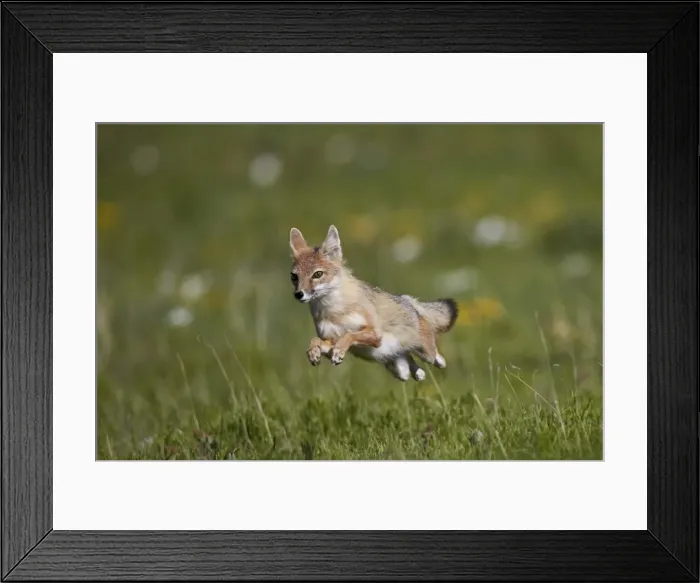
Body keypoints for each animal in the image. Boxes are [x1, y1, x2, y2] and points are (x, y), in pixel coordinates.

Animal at [288, 224, 459, 382]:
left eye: (317, 274)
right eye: (294, 277)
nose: (299, 294)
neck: (334, 312)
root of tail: (410, 303)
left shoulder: (375, 334)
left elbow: (349, 335)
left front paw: (339, 351)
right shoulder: (330, 340)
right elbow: (315, 340)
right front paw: (313, 352)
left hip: (426, 355)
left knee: (438, 359)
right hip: (400, 372)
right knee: (414, 369)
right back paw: (419, 373)